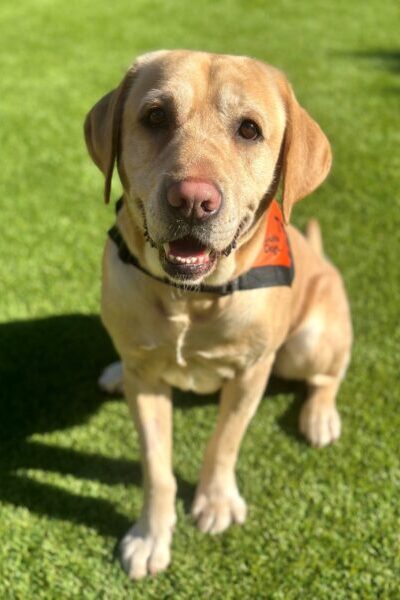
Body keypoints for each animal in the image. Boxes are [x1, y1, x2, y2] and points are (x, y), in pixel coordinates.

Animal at [83, 50, 352, 576]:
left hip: (307, 344)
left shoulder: (251, 372)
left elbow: (224, 442)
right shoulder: (147, 383)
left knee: (329, 375)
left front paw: (216, 501)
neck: (191, 298)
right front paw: (150, 535)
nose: (192, 200)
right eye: (155, 117)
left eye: (249, 129)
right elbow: (157, 467)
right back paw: (113, 370)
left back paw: (320, 417)